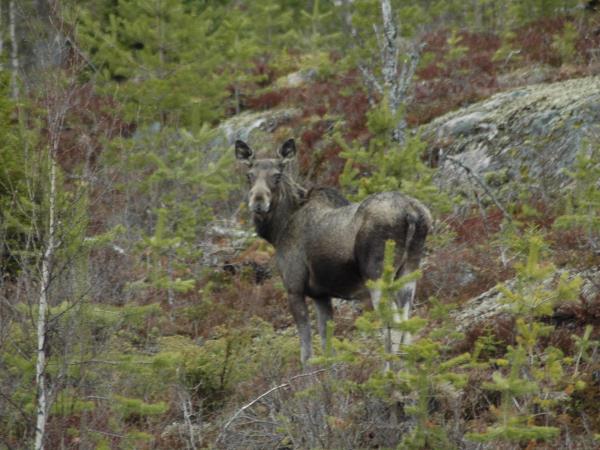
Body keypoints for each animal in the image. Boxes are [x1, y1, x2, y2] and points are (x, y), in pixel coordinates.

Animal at [234, 138, 432, 366]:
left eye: (277, 175)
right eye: (249, 175)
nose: (258, 202)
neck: (278, 230)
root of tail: (413, 215)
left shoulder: (294, 288)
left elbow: (307, 352)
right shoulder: (321, 294)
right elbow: (328, 348)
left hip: (378, 275)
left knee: (393, 325)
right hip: (408, 273)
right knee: (407, 323)